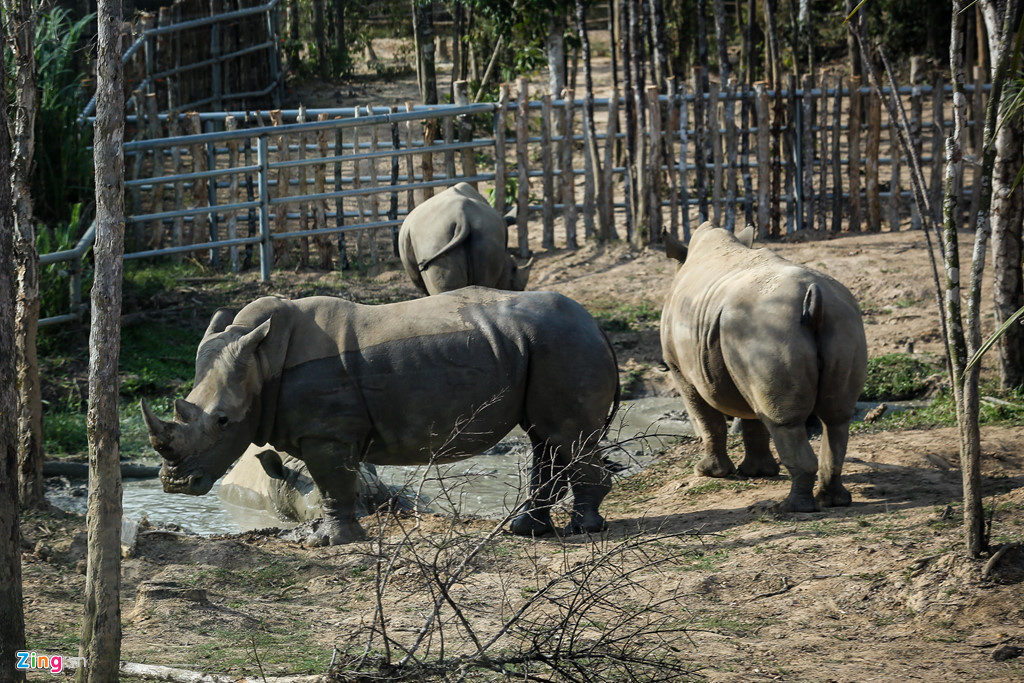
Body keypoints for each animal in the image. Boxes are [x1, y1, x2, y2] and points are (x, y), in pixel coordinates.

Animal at [141, 288, 620, 545]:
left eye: (223, 421)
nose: (175, 483)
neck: (262, 359)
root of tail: (597, 325)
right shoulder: (325, 432)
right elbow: (334, 484)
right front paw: (333, 538)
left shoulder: (327, 433)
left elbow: (332, 483)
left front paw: (332, 541)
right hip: (543, 346)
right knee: (546, 438)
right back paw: (524, 531)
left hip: (564, 344)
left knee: (564, 435)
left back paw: (582, 530)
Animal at [660, 223, 867, 512]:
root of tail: (815, 298)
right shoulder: (743, 366)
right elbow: (753, 418)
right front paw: (757, 472)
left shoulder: (681, 371)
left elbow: (707, 419)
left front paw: (708, 473)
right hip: (841, 320)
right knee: (835, 417)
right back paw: (833, 500)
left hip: (768, 328)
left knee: (784, 422)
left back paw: (790, 509)